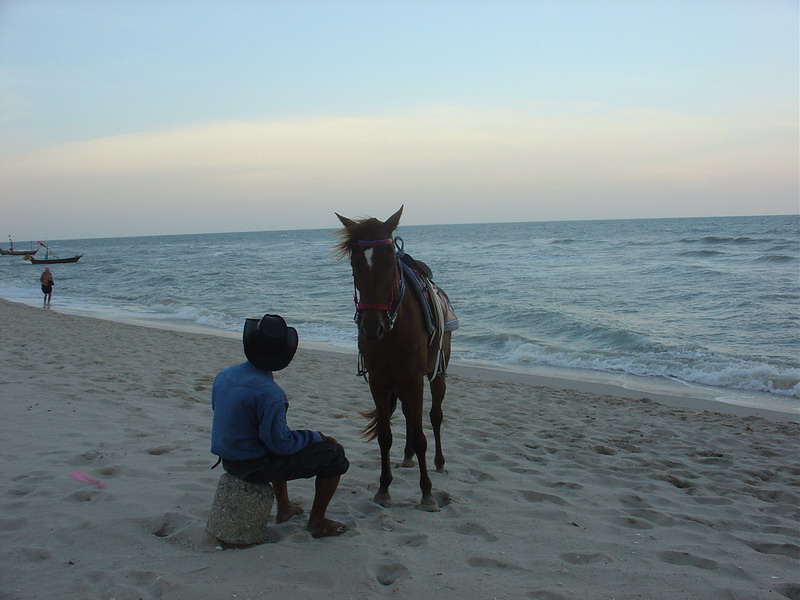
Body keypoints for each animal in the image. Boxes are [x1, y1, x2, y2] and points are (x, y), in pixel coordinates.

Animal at [334, 206, 454, 510]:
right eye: (355, 264)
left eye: (390, 261)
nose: (371, 327)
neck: (392, 328)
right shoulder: (379, 382)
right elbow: (385, 436)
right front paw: (384, 488)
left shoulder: (414, 380)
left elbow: (422, 434)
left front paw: (427, 493)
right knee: (408, 416)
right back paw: (408, 456)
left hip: (437, 374)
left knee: (435, 416)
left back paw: (439, 462)